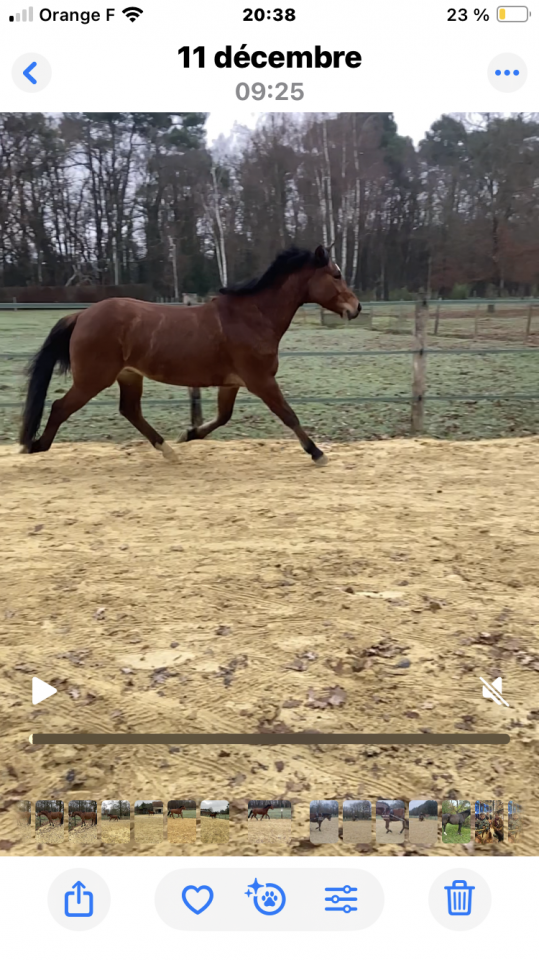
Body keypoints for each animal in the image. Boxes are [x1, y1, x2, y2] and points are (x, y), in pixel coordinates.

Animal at [19, 246, 360, 464]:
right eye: (335, 274)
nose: (356, 308)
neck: (253, 316)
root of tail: (82, 315)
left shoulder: (232, 383)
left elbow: (223, 417)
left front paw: (189, 434)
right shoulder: (261, 380)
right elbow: (288, 415)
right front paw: (317, 453)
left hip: (128, 376)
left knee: (130, 411)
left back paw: (168, 450)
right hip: (93, 379)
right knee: (60, 407)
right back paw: (35, 446)